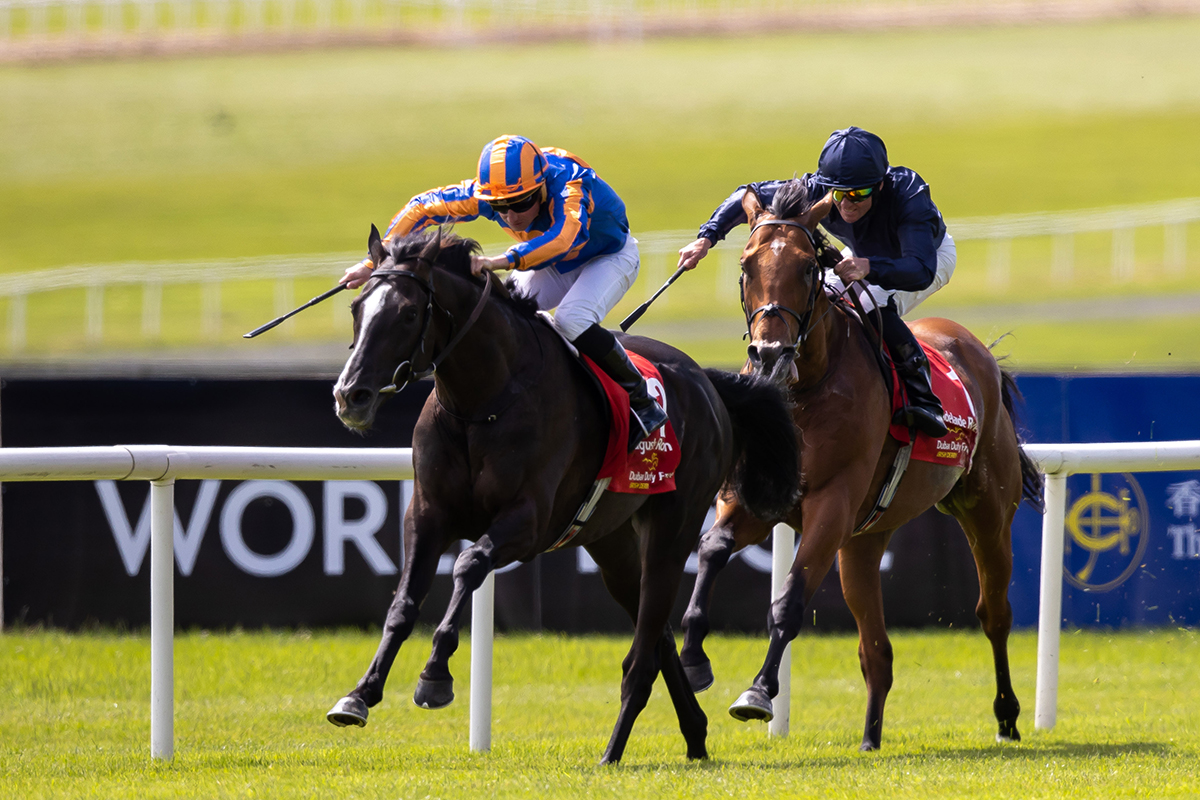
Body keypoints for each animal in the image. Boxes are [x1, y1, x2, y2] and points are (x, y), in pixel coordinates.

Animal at [324, 227, 801, 767]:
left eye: (407, 313)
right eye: (356, 307)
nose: (350, 395)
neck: (482, 403)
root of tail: (707, 381)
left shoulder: (529, 522)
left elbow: (469, 564)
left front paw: (434, 674)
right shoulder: (426, 514)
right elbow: (403, 603)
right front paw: (359, 695)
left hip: (674, 525)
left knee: (644, 646)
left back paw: (614, 750)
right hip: (610, 542)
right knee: (655, 630)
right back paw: (694, 733)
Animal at [681, 181, 1046, 753]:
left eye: (809, 267)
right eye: (745, 265)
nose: (769, 354)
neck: (807, 386)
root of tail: (975, 349)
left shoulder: (831, 503)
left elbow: (789, 600)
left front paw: (759, 692)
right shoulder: (756, 498)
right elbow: (713, 548)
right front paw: (694, 654)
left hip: (986, 510)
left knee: (994, 614)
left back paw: (1007, 717)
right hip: (864, 540)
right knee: (876, 650)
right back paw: (871, 737)